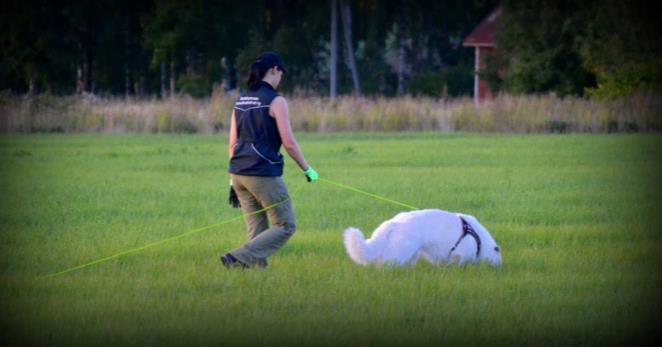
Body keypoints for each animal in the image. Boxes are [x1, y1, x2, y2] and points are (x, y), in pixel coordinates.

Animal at [342, 209, 504, 266]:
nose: (499, 268)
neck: (478, 239)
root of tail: (393, 223)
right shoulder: (460, 255)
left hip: (410, 254)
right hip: (400, 253)